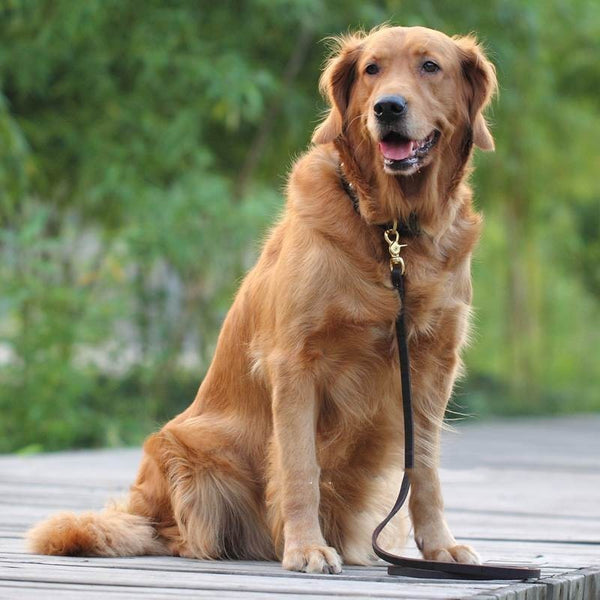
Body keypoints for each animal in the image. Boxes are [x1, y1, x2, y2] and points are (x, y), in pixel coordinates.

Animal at [28, 25, 496, 576]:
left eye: (430, 66)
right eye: (372, 70)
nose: (388, 107)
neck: (393, 235)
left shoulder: (431, 365)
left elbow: (423, 467)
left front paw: (441, 547)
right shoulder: (294, 361)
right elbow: (300, 466)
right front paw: (306, 547)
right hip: (187, 449)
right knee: (173, 532)